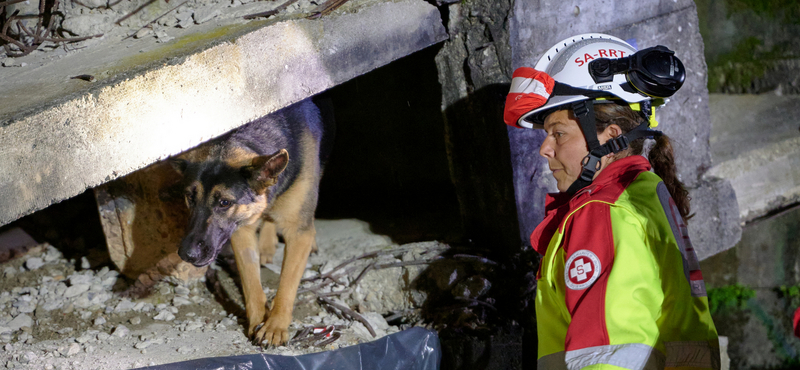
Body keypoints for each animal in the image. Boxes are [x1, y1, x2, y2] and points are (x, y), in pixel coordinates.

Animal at [169, 97, 332, 344]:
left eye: (224, 203)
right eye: (190, 197)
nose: (187, 254)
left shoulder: (297, 233)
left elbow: (287, 283)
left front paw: (275, 325)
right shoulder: (241, 232)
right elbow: (251, 283)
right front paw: (257, 322)